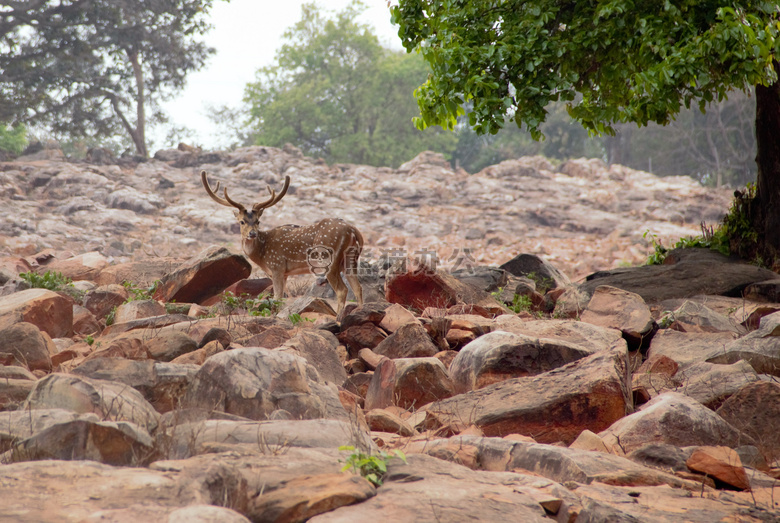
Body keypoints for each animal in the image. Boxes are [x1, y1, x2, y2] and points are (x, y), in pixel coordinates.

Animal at [198, 170, 362, 314]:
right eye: (242, 221)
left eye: (258, 221)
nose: (252, 233)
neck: (262, 254)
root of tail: (353, 230)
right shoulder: (284, 273)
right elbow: (282, 299)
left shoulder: (276, 266)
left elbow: (277, 298)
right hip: (350, 260)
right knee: (358, 287)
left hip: (329, 260)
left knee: (342, 290)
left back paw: (338, 319)